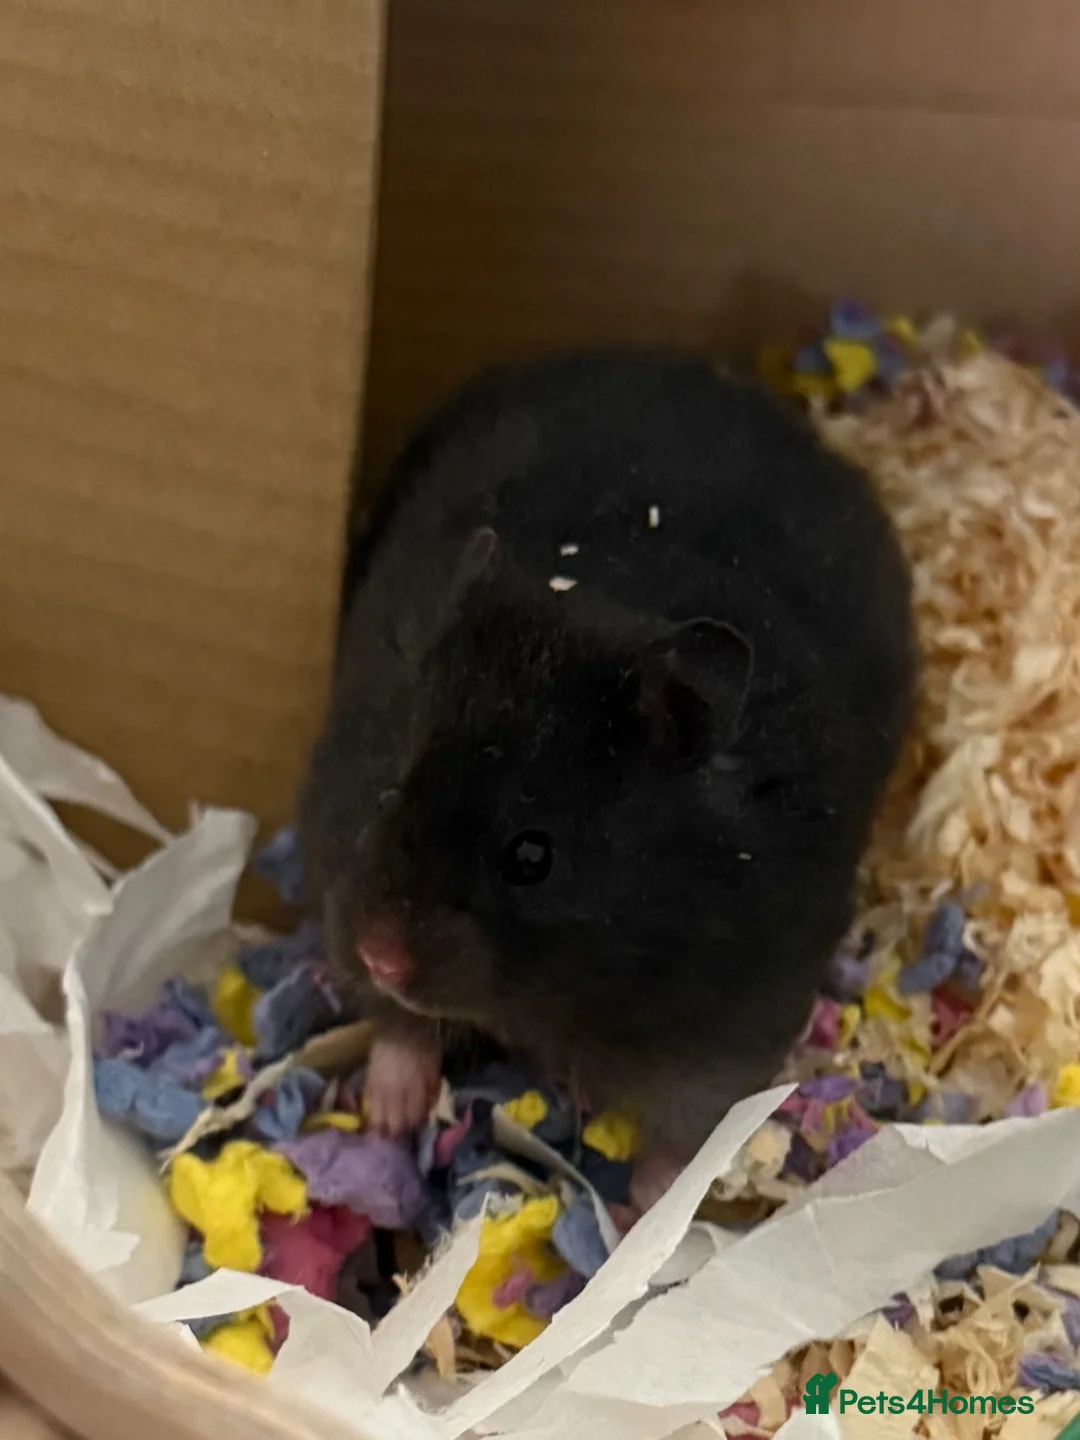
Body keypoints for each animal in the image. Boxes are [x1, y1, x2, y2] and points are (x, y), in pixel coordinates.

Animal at [300, 350, 916, 1211]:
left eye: (533, 857)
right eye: (386, 790)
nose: (382, 953)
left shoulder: (725, 1032)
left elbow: (683, 1142)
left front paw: (639, 1214)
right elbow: (398, 1028)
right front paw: (389, 1115)